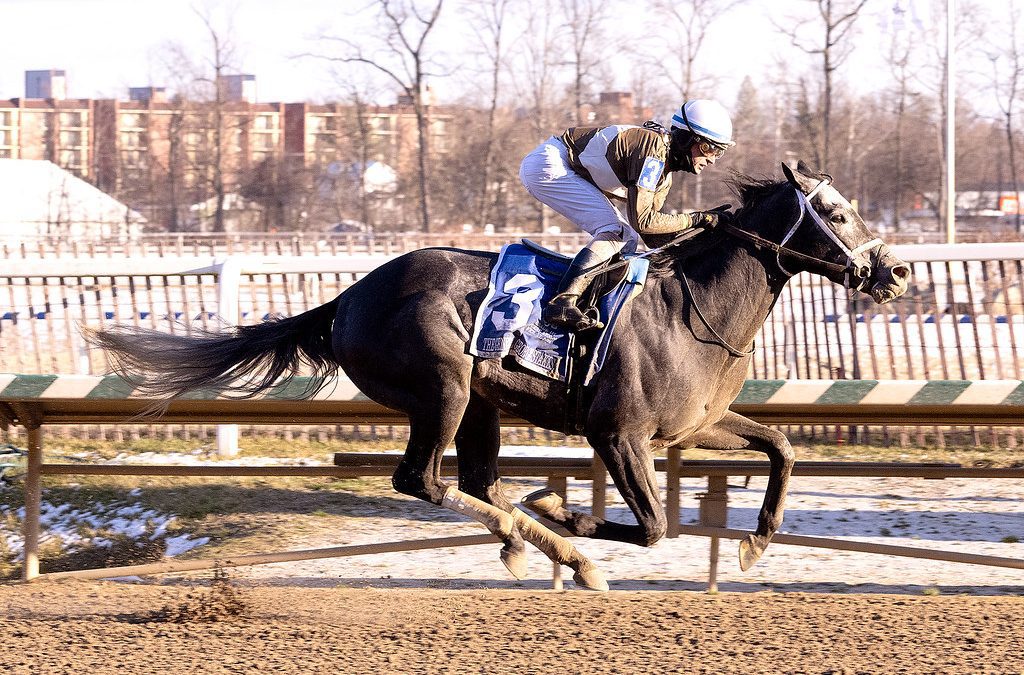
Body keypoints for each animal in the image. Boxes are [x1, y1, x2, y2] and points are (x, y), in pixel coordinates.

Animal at [83, 163, 909, 589]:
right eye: (837, 211)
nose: (895, 270)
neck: (690, 308)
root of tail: (349, 296)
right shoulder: (619, 434)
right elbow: (652, 525)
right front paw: (568, 510)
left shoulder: (696, 424)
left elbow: (781, 447)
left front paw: (757, 540)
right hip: (444, 388)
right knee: (423, 480)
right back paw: (543, 537)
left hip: (480, 401)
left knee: (477, 481)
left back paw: (542, 543)